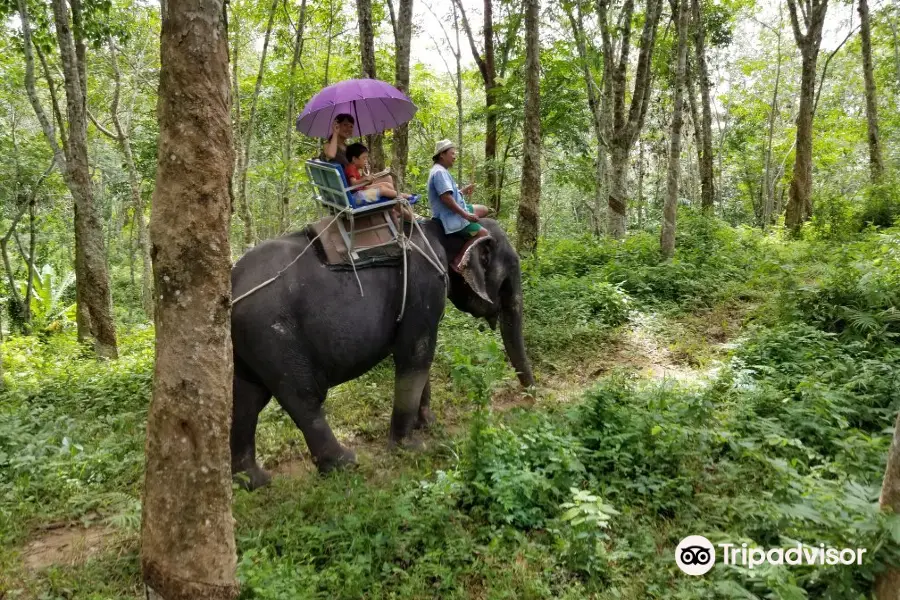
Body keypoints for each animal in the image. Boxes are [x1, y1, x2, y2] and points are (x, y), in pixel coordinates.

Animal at [229, 218, 536, 490]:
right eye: (508, 278)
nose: (531, 400)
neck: (439, 229)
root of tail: (232, 287)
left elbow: (421, 356)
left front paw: (428, 424)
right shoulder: (424, 284)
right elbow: (417, 354)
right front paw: (410, 448)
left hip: (248, 342)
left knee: (246, 399)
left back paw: (252, 482)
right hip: (272, 334)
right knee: (301, 397)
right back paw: (345, 464)